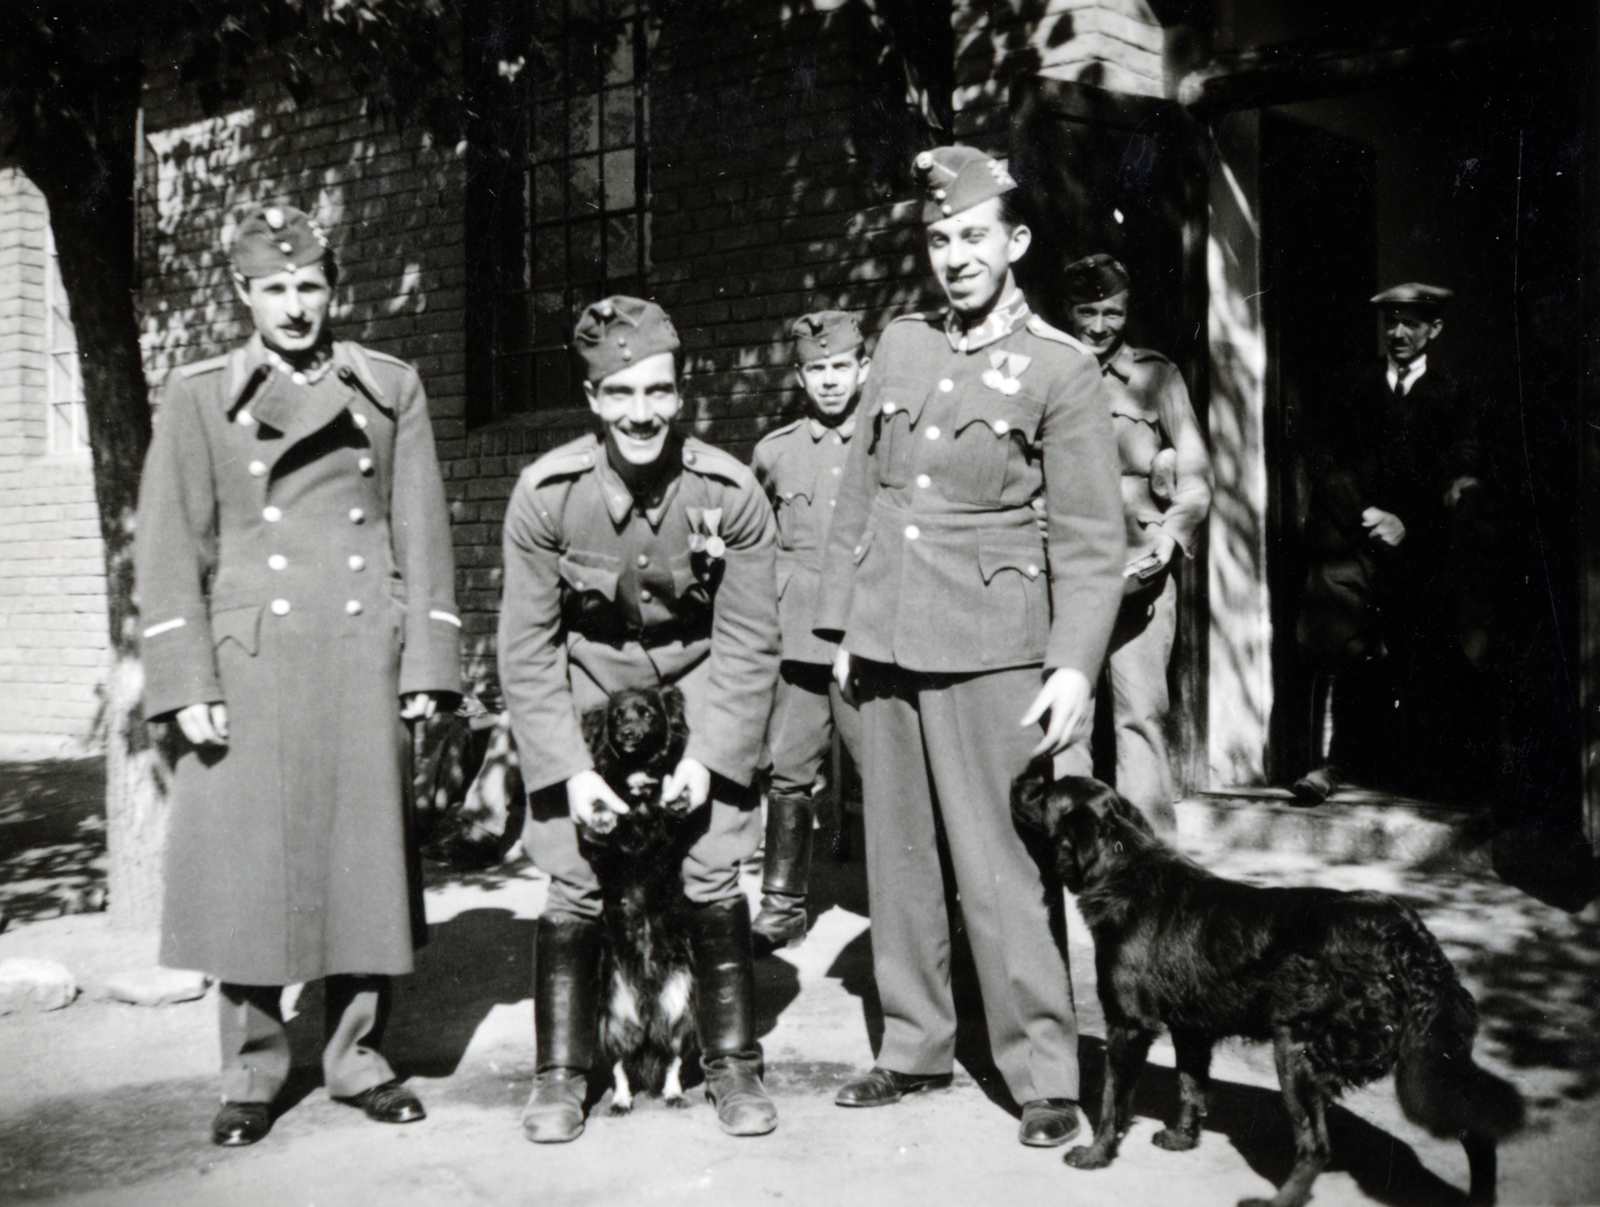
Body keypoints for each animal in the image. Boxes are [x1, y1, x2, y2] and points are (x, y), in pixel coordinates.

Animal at [579, 685, 697, 1107]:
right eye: (617, 717)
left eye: (647, 713)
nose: (628, 733)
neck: (637, 770)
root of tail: (646, 1005)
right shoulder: (602, 848)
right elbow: (603, 816)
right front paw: (602, 815)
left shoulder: (672, 836)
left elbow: (669, 805)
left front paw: (675, 798)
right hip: (615, 1018)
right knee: (619, 1065)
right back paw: (621, 1100)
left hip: (678, 1010)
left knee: (673, 1057)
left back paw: (673, 1093)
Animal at [1011, 771, 1523, 1203]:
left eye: (1047, 790)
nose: (1021, 776)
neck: (1123, 869)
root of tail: (1410, 939)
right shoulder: (1192, 1031)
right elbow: (1190, 1089)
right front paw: (1181, 1139)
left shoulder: (1129, 1025)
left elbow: (1112, 1103)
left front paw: (1095, 1156)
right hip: (1428, 1062)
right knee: (1476, 1133)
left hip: (1296, 1051)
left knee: (1316, 1148)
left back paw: (1276, 1202)